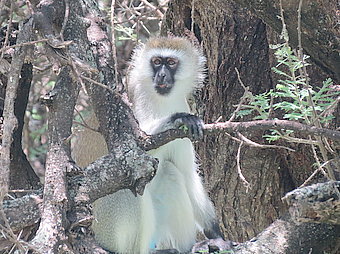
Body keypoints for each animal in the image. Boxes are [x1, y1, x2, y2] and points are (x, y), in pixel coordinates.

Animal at [72, 36, 223, 253]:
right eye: (157, 62)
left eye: (171, 62)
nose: (161, 75)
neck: (163, 102)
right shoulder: (138, 100)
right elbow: (132, 149)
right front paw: (178, 119)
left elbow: (188, 174)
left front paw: (217, 235)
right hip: (103, 227)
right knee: (127, 181)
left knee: (169, 171)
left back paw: (188, 248)